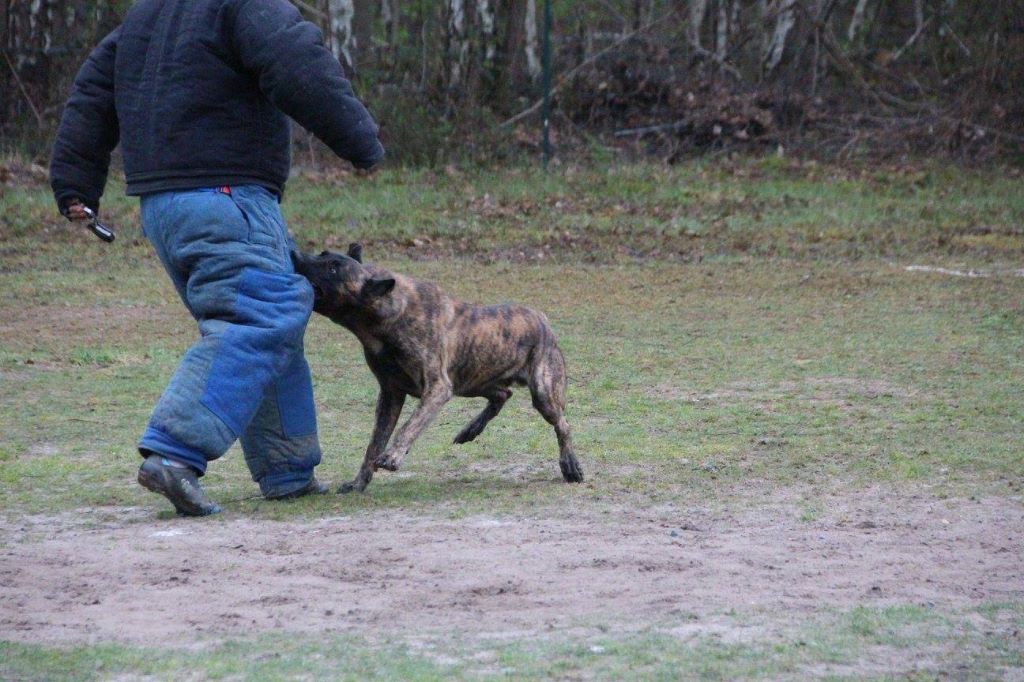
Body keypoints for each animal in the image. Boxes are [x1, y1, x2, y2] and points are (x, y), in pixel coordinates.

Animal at [292, 244, 589, 493]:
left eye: (333, 268)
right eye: (322, 253)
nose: (295, 254)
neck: (389, 312)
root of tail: (542, 319)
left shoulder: (437, 388)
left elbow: (409, 425)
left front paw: (393, 456)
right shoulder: (390, 394)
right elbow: (373, 443)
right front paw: (358, 483)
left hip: (542, 391)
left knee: (563, 424)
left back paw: (570, 465)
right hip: (472, 380)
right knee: (502, 395)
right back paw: (471, 429)